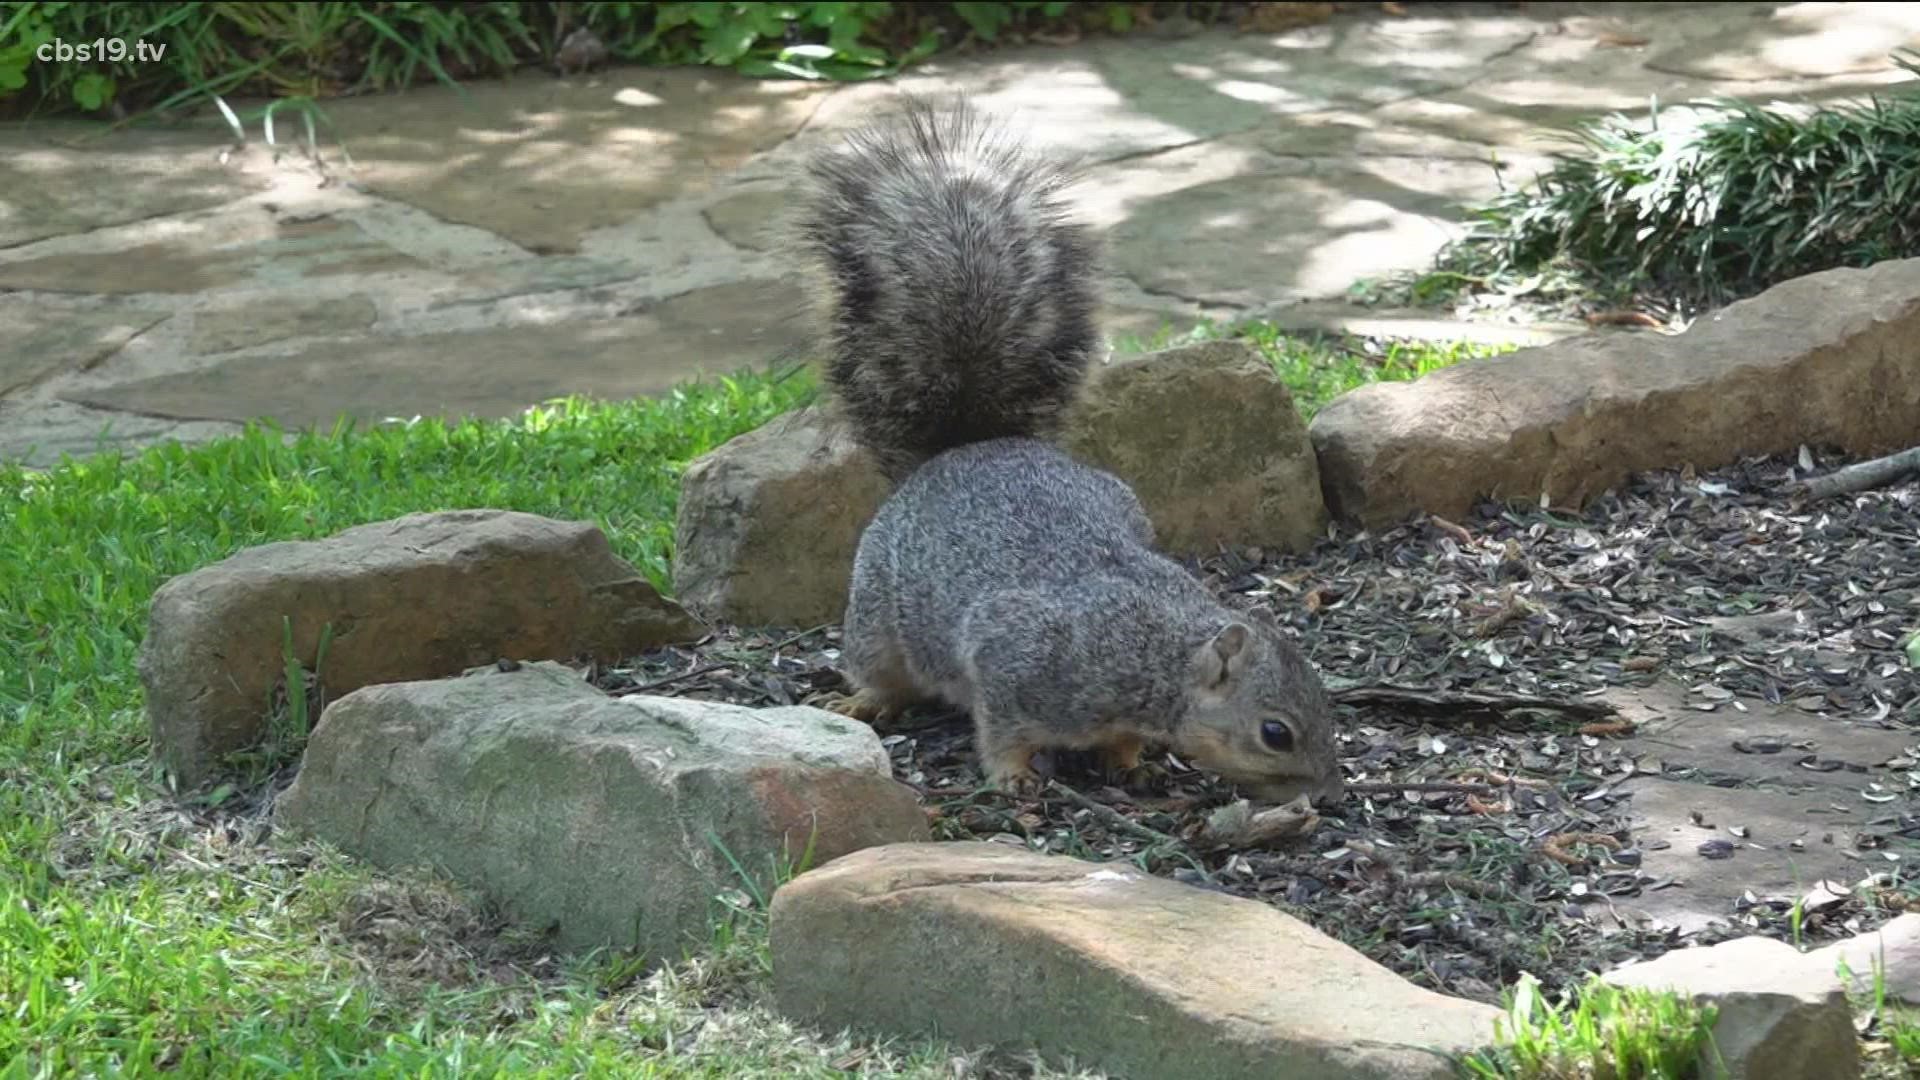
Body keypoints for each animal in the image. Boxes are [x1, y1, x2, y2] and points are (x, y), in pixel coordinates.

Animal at [787, 98, 1344, 807]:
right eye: (1276, 733)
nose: (1329, 793)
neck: (1153, 652)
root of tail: (964, 452)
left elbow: (1121, 743)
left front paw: (1132, 763)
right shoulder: (1012, 662)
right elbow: (1001, 729)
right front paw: (1014, 776)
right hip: (877, 617)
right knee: (879, 672)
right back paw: (864, 702)